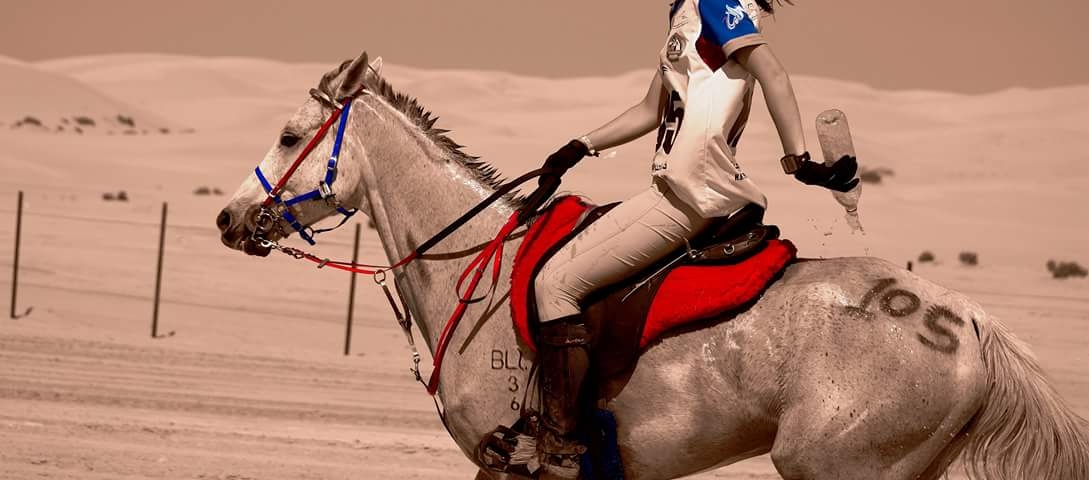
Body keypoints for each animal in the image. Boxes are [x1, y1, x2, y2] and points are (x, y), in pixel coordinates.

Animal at [216, 51, 1089, 480]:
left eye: (290, 137)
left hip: (837, 467)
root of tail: (967, 320)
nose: (229, 217)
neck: (482, 272)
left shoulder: (513, 467)